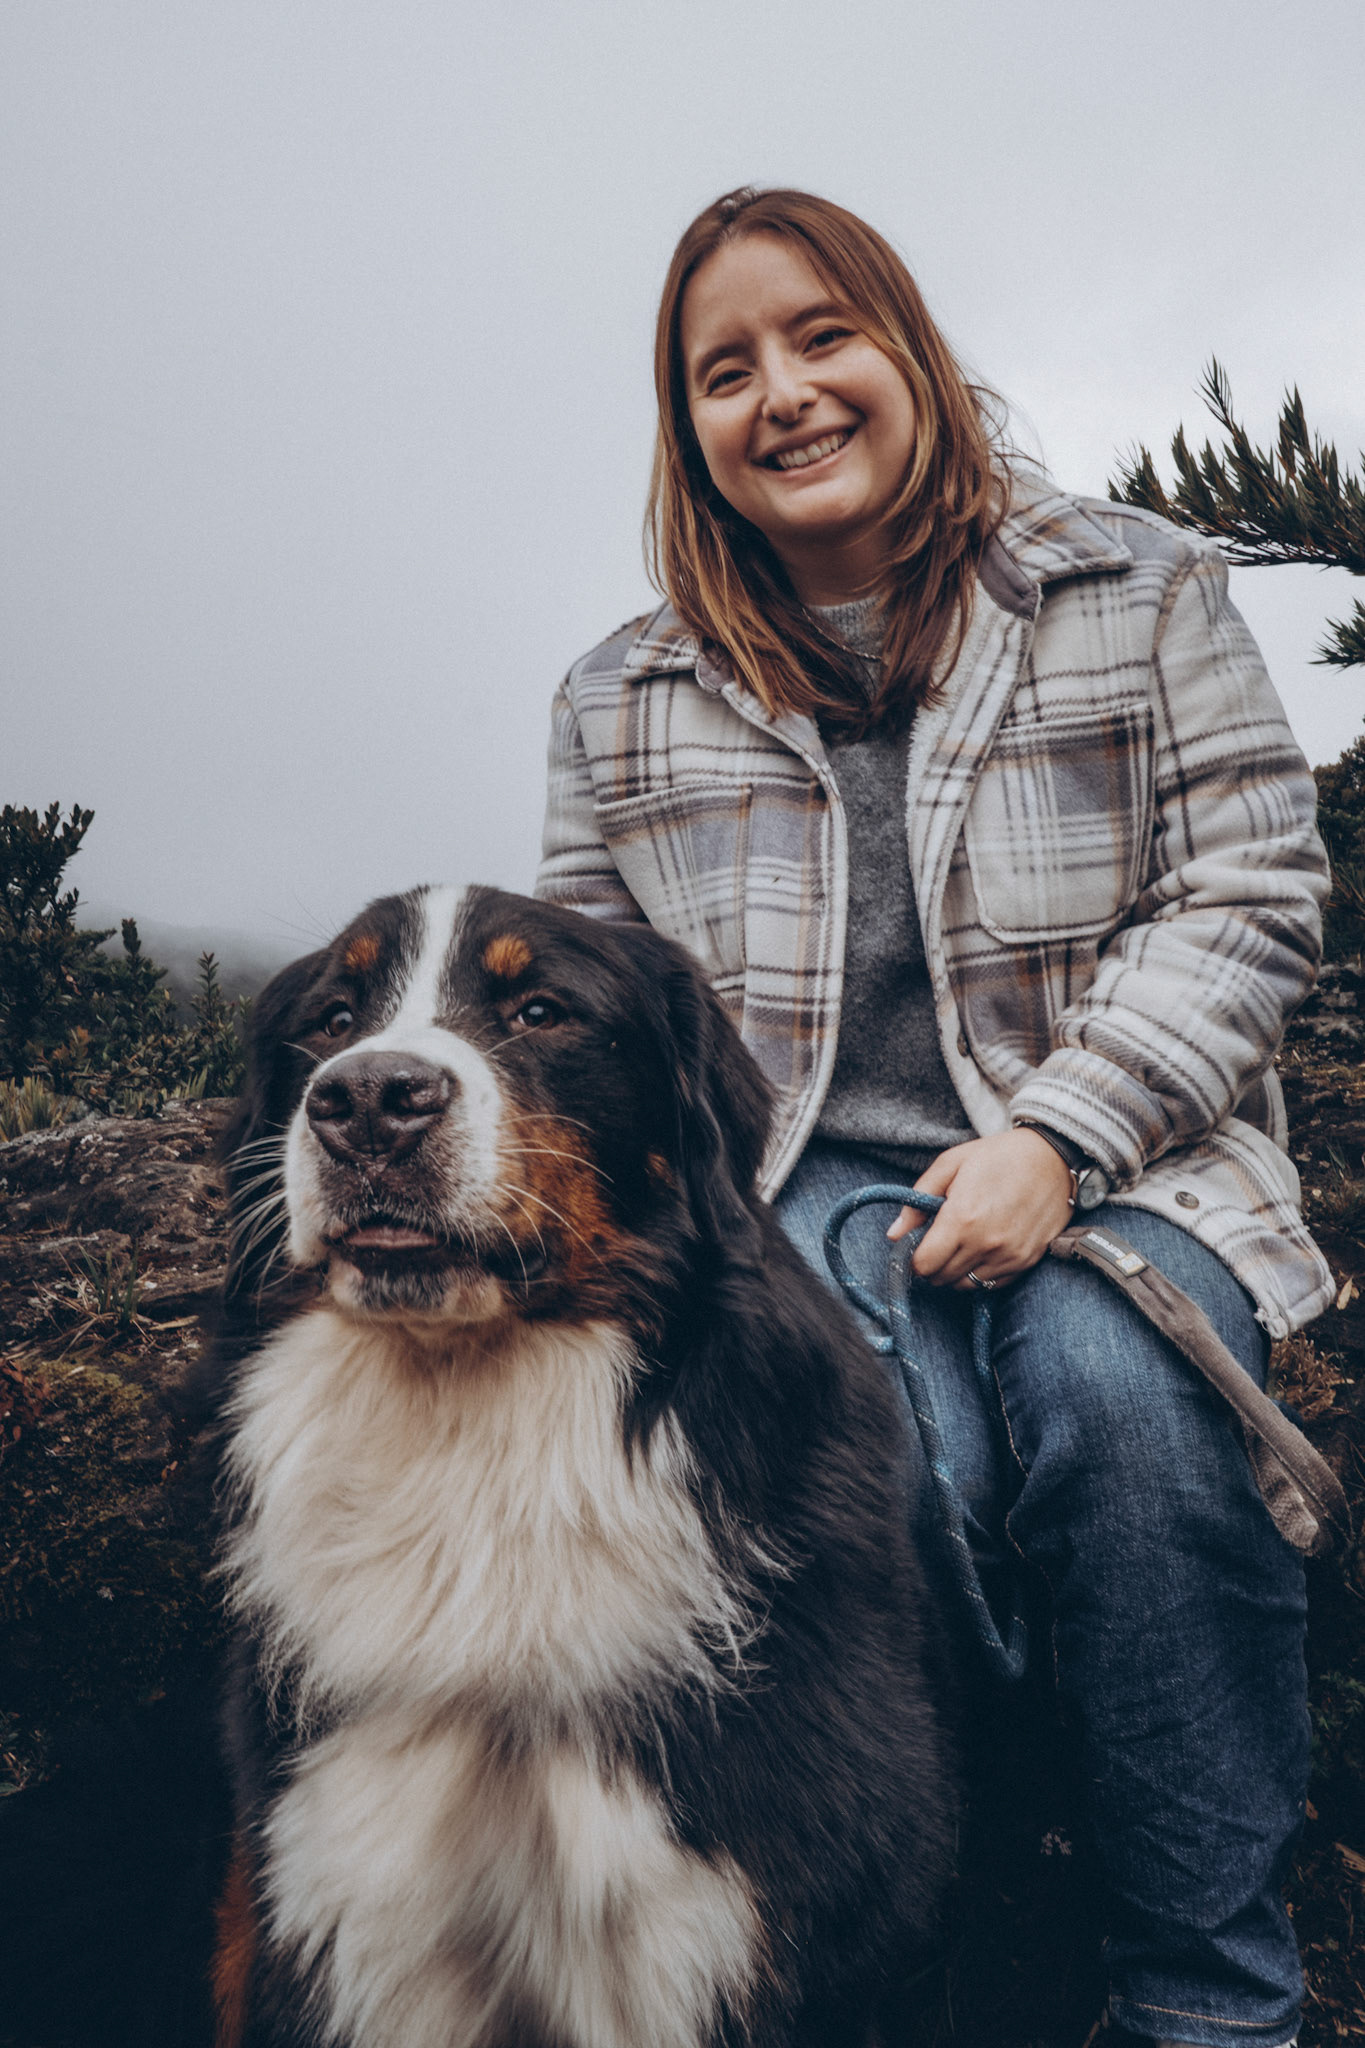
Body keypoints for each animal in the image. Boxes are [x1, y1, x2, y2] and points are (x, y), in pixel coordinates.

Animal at [205, 883, 955, 2048]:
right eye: (331, 1020)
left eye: (542, 1011)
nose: (368, 1098)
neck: (471, 1421)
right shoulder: (353, 1915)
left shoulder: (740, 1918)